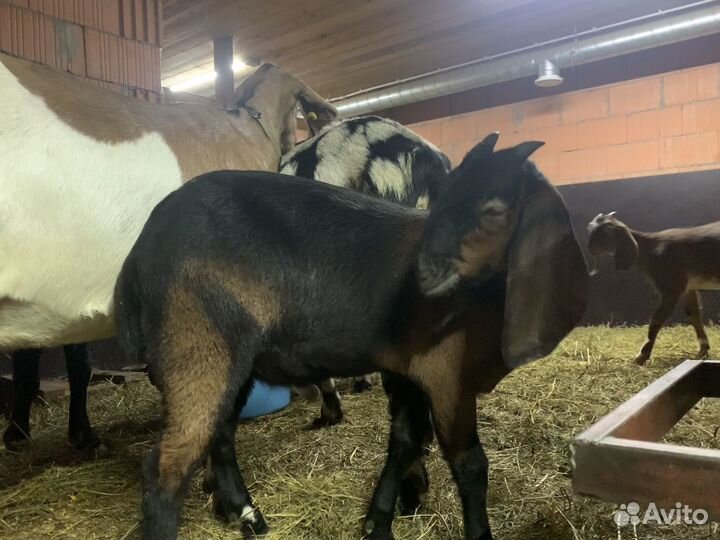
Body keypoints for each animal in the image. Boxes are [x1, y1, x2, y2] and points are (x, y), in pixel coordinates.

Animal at [588, 212, 720, 365]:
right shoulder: (688, 287)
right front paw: (703, 350)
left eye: (604, 233)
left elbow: (656, 320)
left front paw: (641, 356)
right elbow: (693, 314)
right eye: (589, 229)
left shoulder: (671, 287)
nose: (589, 249)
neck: (648, 249)